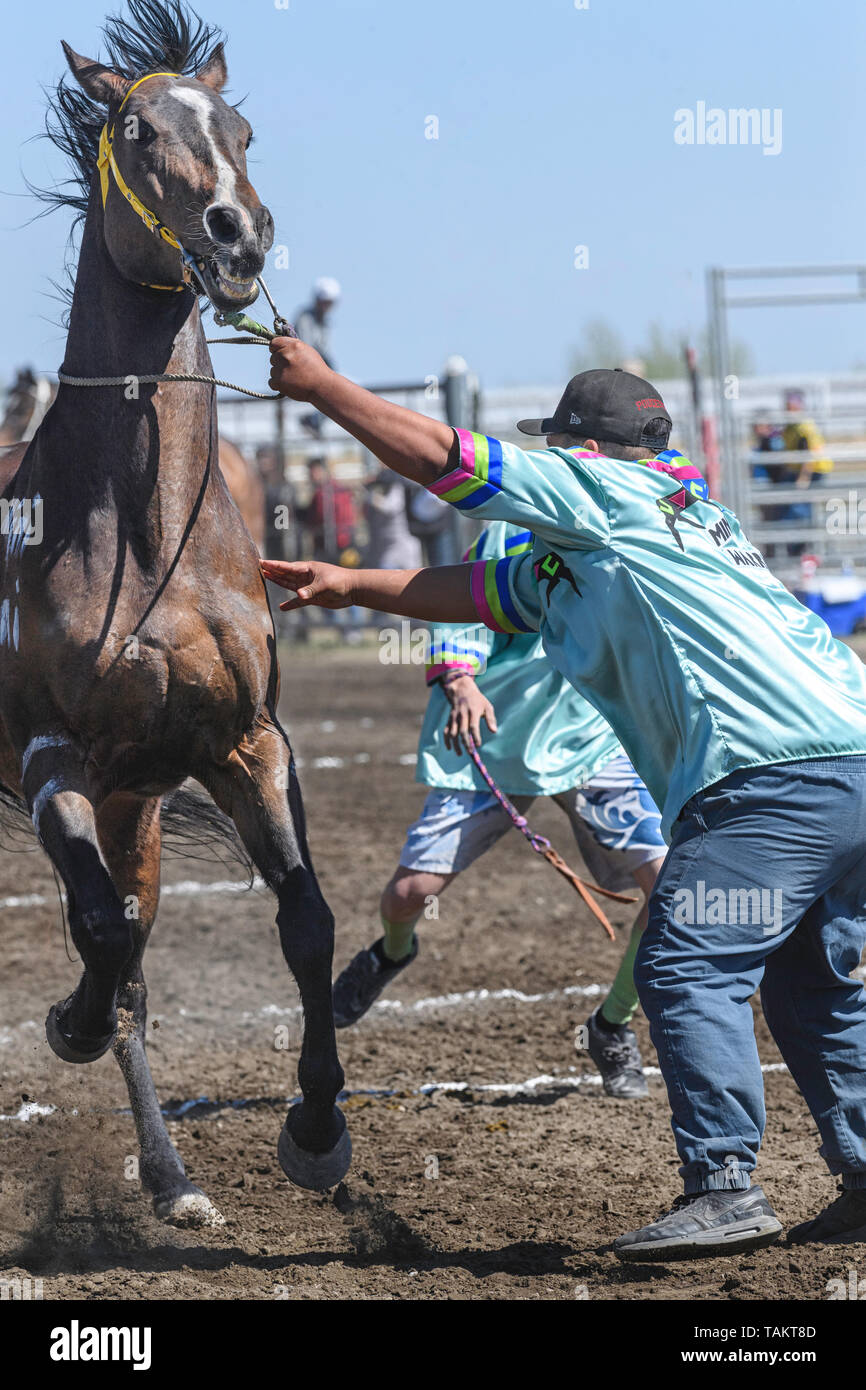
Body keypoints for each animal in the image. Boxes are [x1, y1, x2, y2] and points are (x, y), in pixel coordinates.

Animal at [4, 0, 348, 1223]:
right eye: (135, 128)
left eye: (238, 128)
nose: (238, 234)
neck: (146, 538)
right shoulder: (49, 752)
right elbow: (102, 936)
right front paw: (65, 1021)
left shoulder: (243, 744)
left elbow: (303, 921)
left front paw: (316, 1131)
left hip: (136, 809)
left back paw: (169, 1176)